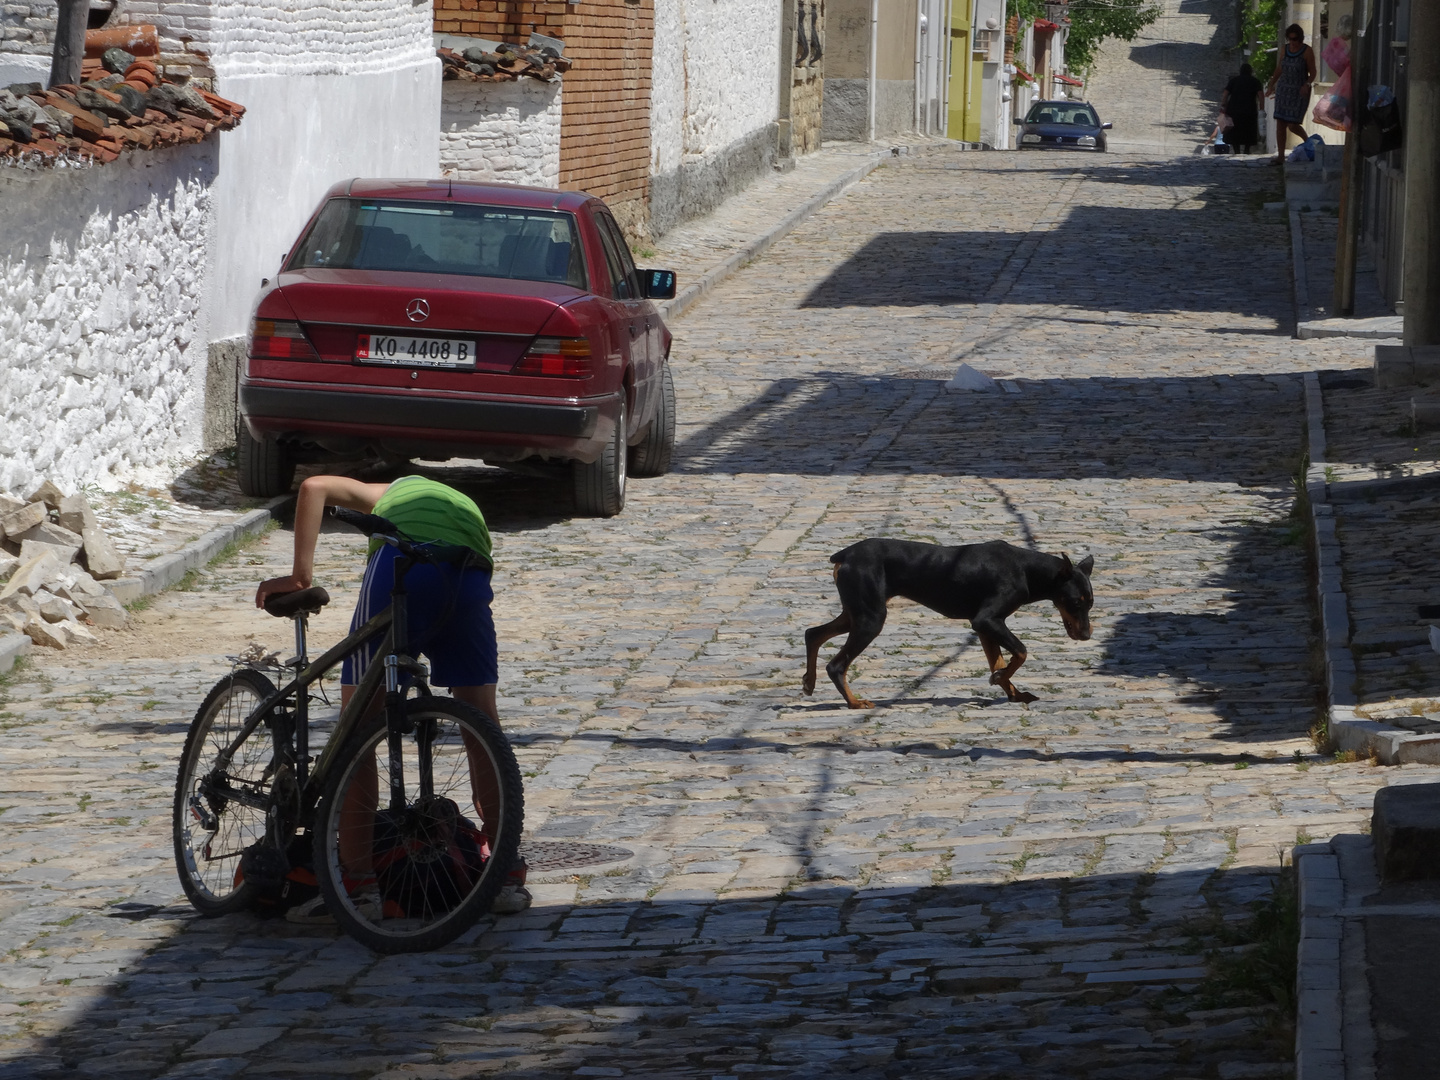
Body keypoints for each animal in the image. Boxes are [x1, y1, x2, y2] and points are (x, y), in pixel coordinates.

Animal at [806, 538, 1094, 711]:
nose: (1087, 635)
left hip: (856, 614)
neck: (1025, 569)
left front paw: (1013, 692)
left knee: (813, 633)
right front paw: (1002, 680)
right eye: (1075, 602)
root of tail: (845, 554)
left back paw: (809, 682)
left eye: (1090, 603)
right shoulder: (986, 620)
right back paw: (854, 702)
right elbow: (1021, 652)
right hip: (870, 619)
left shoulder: (985, 627)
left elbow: (999, 661)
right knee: (836, 665)